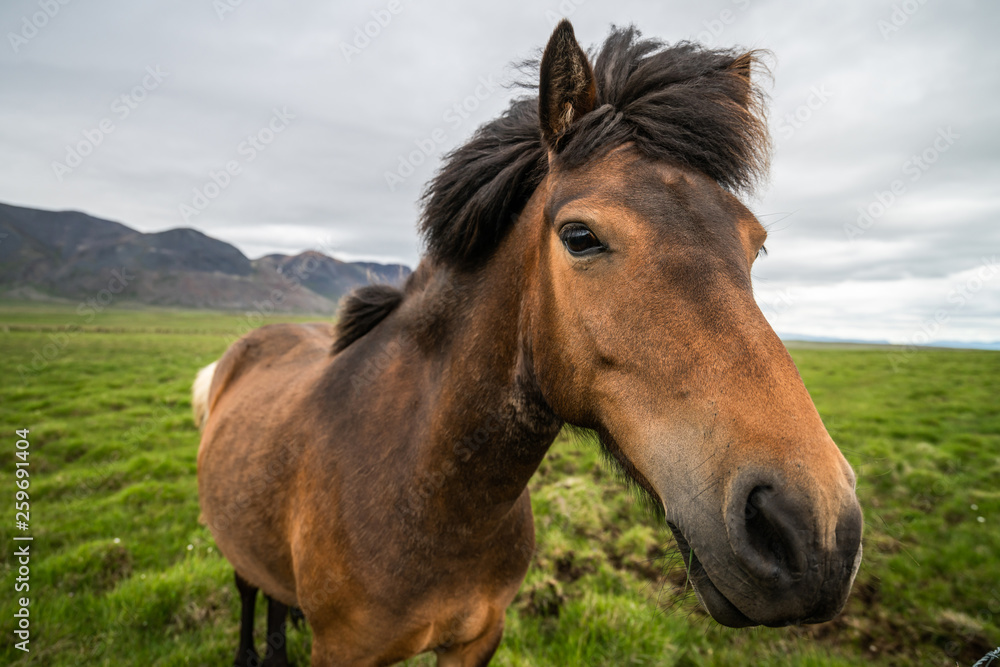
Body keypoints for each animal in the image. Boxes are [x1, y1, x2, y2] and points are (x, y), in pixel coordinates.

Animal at [193, 20, 860, 667]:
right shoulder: (344, 652)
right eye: (580, 236)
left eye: (756, 244)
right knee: (249, 591)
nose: (815, 531)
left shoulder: (478, 638)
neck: (427, 492)